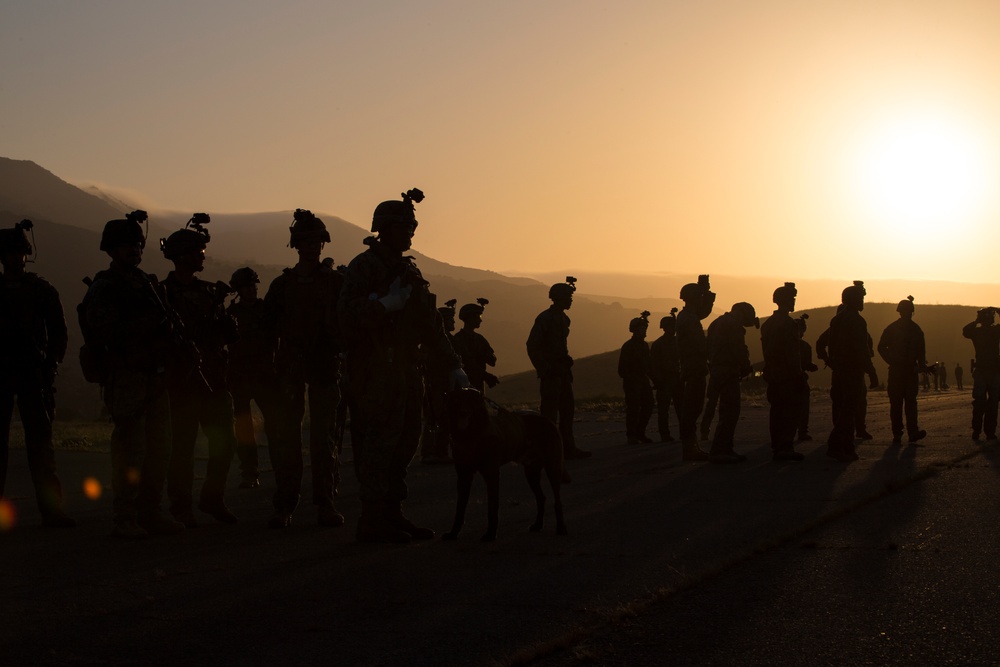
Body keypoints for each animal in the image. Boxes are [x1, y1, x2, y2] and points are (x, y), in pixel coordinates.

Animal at [442, 386, 568, 544]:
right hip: (531, 472)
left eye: (470, 401)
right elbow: (459, 510)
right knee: (541, 497)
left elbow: (492, 507)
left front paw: (490, 534)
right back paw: (538, 525)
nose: (463, 412)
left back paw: (561, 528)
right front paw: (453, 533)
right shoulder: (464, 476)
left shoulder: (492, 474)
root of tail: (548, 420)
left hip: (552, 467)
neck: (471, 435)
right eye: (456, 401)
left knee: (557, 499)